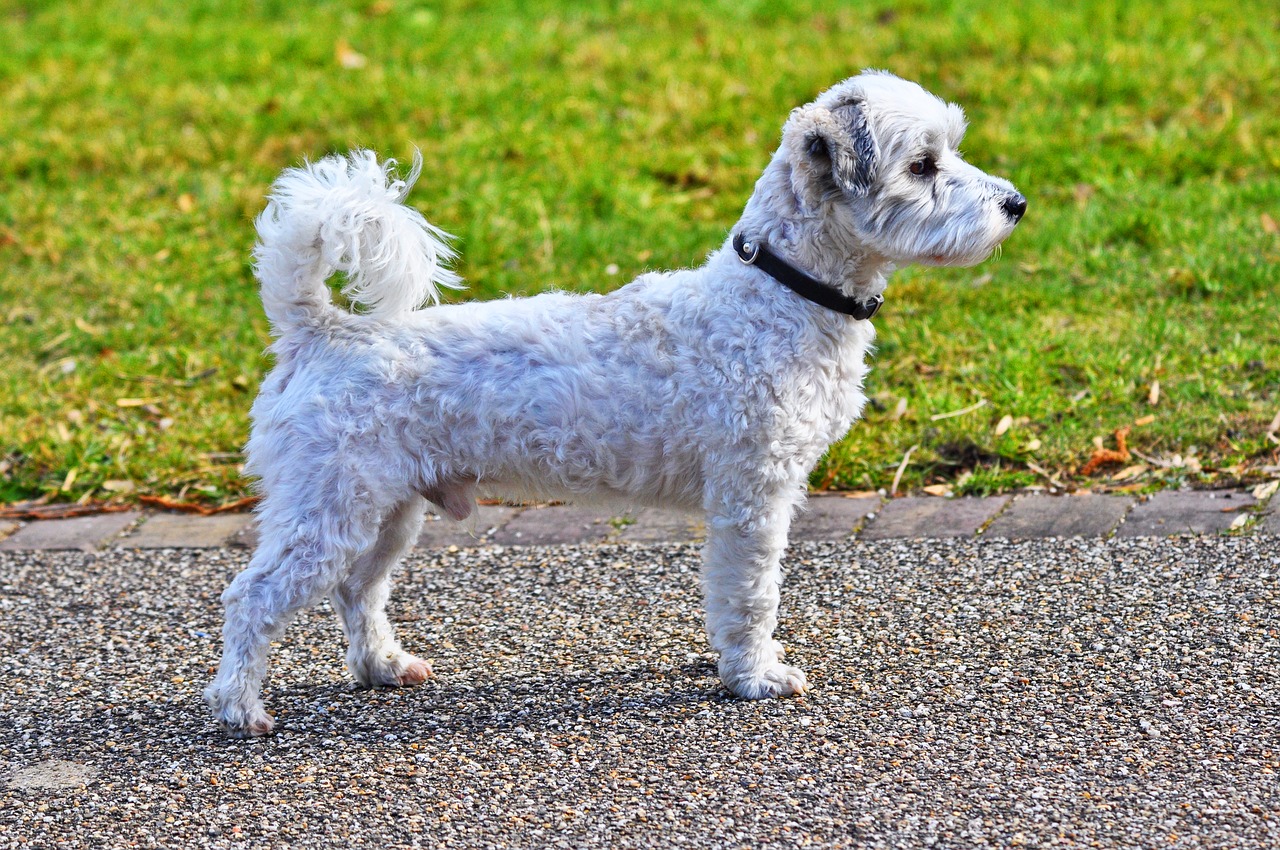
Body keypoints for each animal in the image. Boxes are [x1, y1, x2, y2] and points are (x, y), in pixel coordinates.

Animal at [204, 71, 1024, 737]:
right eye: (922, 165)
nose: (1016, 204)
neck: (777, 296)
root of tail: (319, 331)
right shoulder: (752, 501)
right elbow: (751, 596)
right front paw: (755, 676)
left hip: (385, 513)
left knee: (357, 591)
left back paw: (382, 667)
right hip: (328, 511)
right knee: (250, 598)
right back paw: (240, 708)